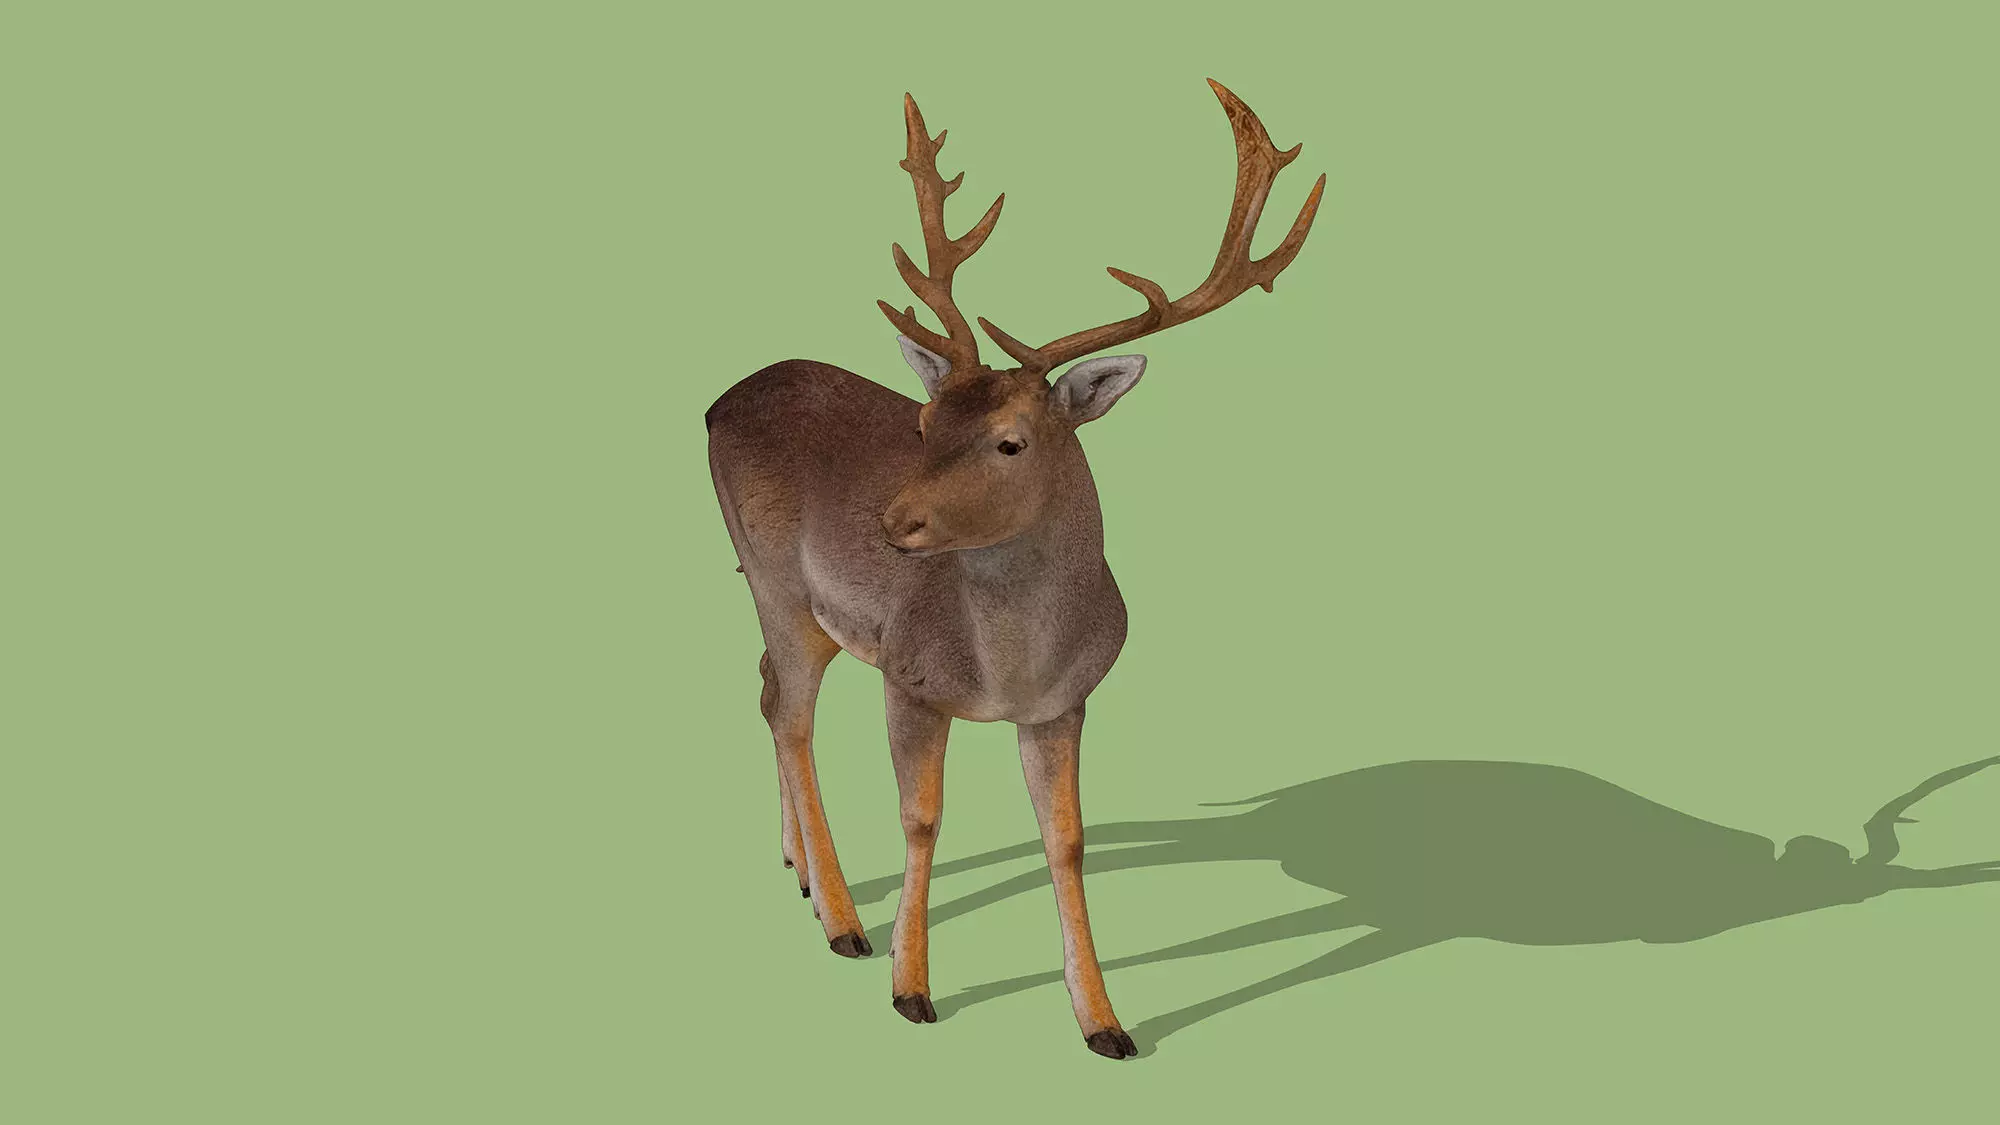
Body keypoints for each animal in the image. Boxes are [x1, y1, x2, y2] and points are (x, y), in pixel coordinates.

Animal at [704, 80, 1324, 1060]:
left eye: (1011, 440)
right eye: (922, 423)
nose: (891, 523)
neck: (1008, 669)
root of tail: (714, 404)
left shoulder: (1066, 701)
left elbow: (1067, 838)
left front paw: (1105, 1021)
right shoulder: (910, 673)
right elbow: (921, 817)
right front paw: (911, 988)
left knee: (765, 690)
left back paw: (800, 871)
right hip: (775, 581)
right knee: (791, 714)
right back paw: (842, 920)